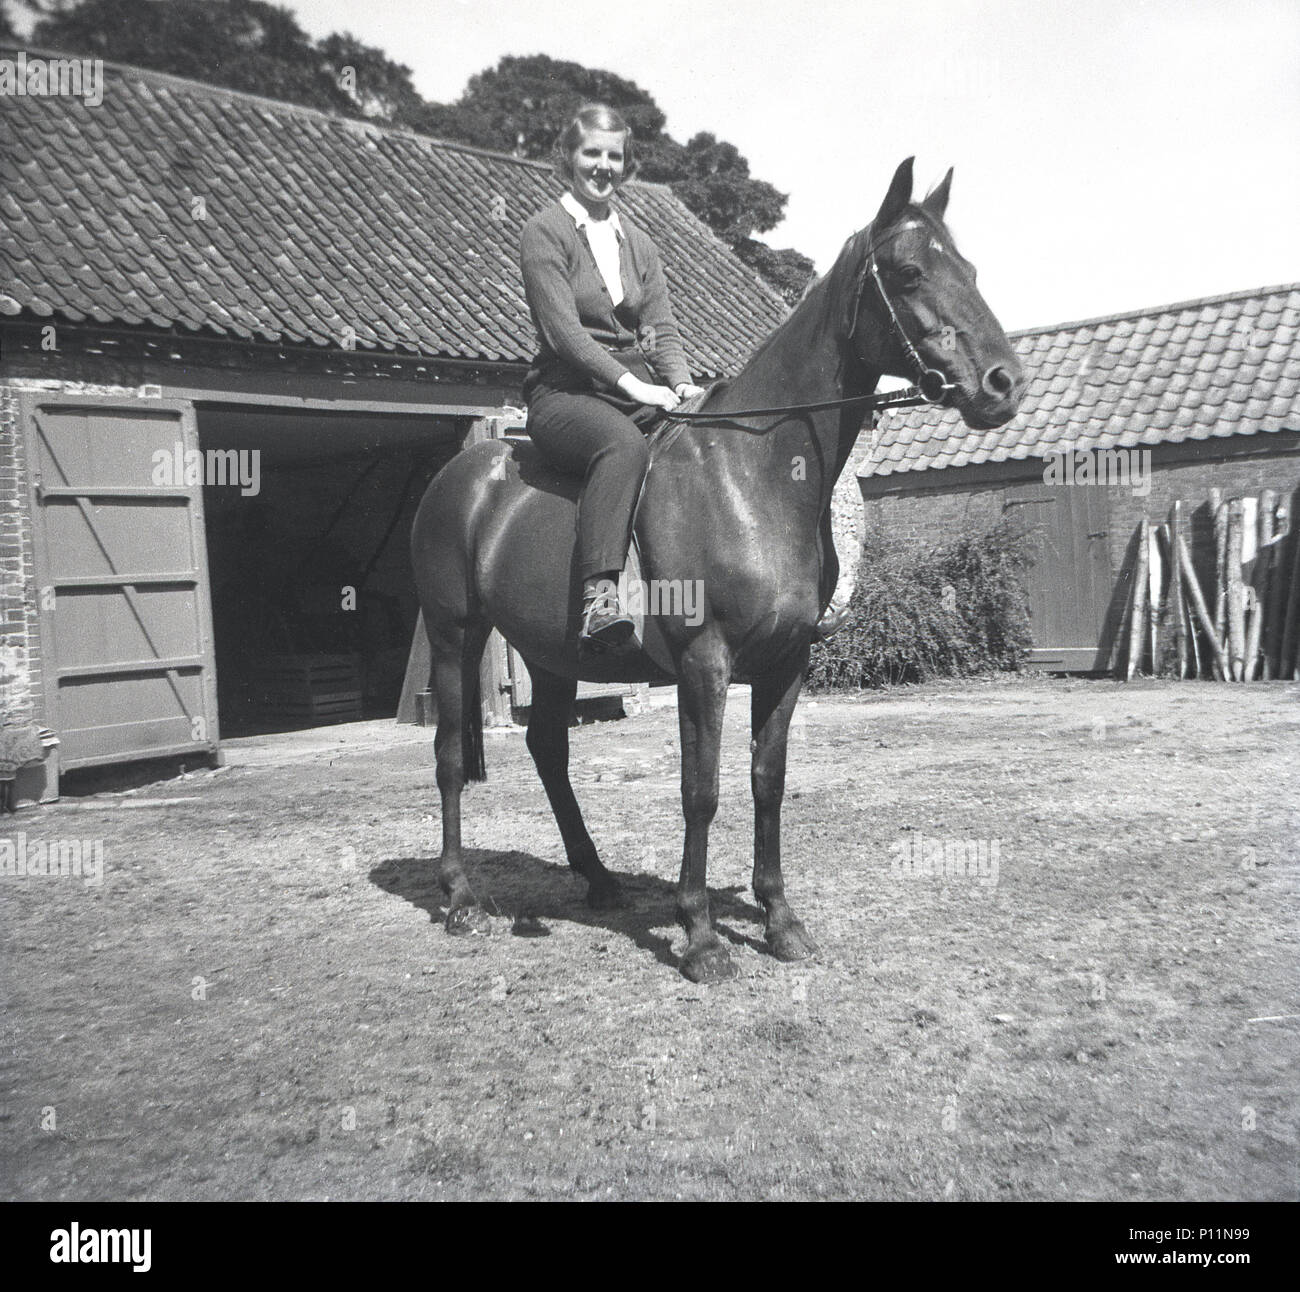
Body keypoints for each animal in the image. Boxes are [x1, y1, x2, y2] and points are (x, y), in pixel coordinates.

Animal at [410, 157, 1025, 983]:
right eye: (908, 271)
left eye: (971, 268)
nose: (1003, 384)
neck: (752, 474)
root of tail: (464, 473)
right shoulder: (705, 662)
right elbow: (699, 790)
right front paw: (700, 935)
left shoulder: (787, 662)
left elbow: (768, 782)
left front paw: (781, 921)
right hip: (456, 636)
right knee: (449, 757)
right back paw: (459, 898)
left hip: (551, 654)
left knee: (549, 752)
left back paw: (597, 878)